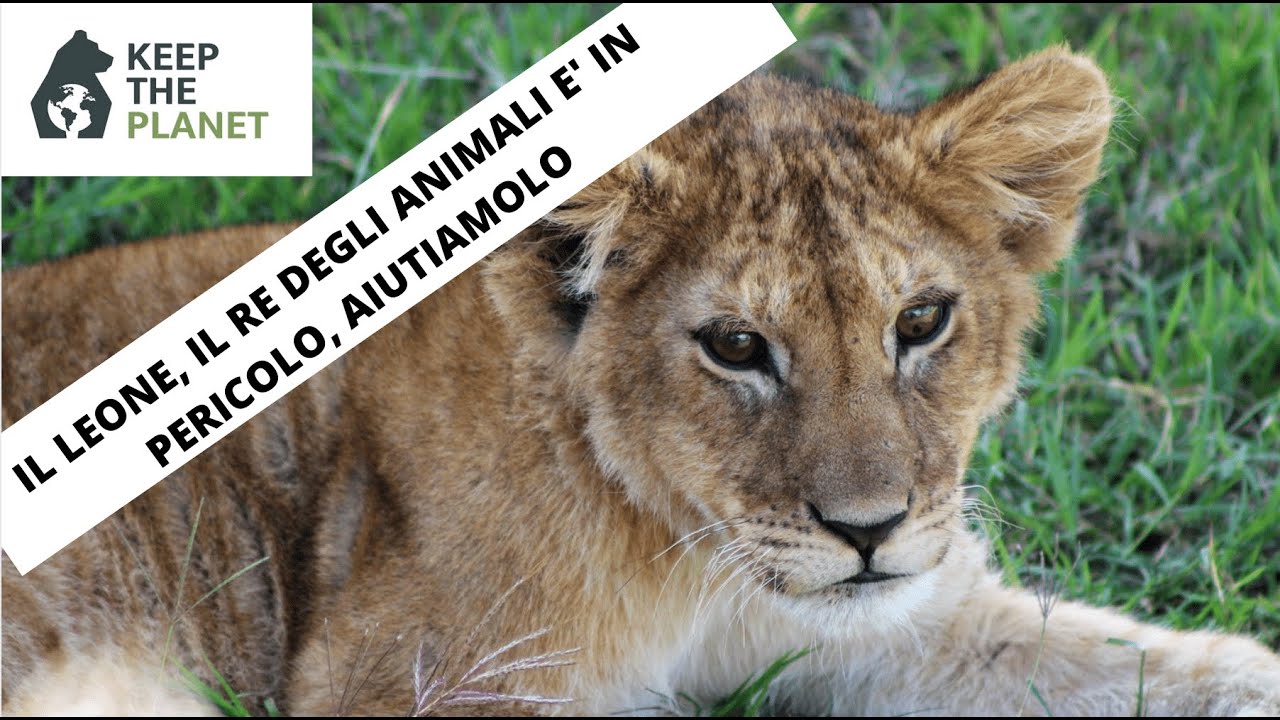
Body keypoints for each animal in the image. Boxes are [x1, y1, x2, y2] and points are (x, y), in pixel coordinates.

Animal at [3, 48, 1279, 716]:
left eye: (920, 323)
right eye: (734, 347)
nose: (866, 533)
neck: (688, 557)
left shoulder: (904, 621)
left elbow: (1144, 666)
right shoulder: (413, 683)